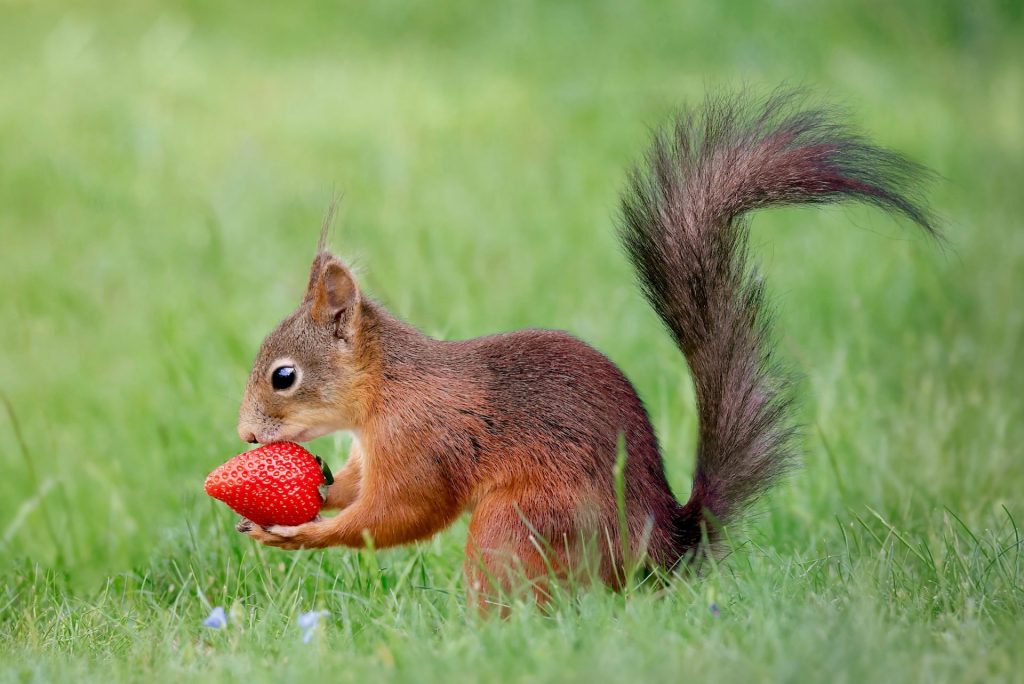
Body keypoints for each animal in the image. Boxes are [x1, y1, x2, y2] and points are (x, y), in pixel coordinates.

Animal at [234, 90, 937, 597]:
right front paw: (314, 493)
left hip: (519, 524)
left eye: (283, 376)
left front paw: (303, 534)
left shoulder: (425, 441)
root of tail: (659, 553)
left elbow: (401, 513)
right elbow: (356, 487)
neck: (385, 388)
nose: (244, 436)